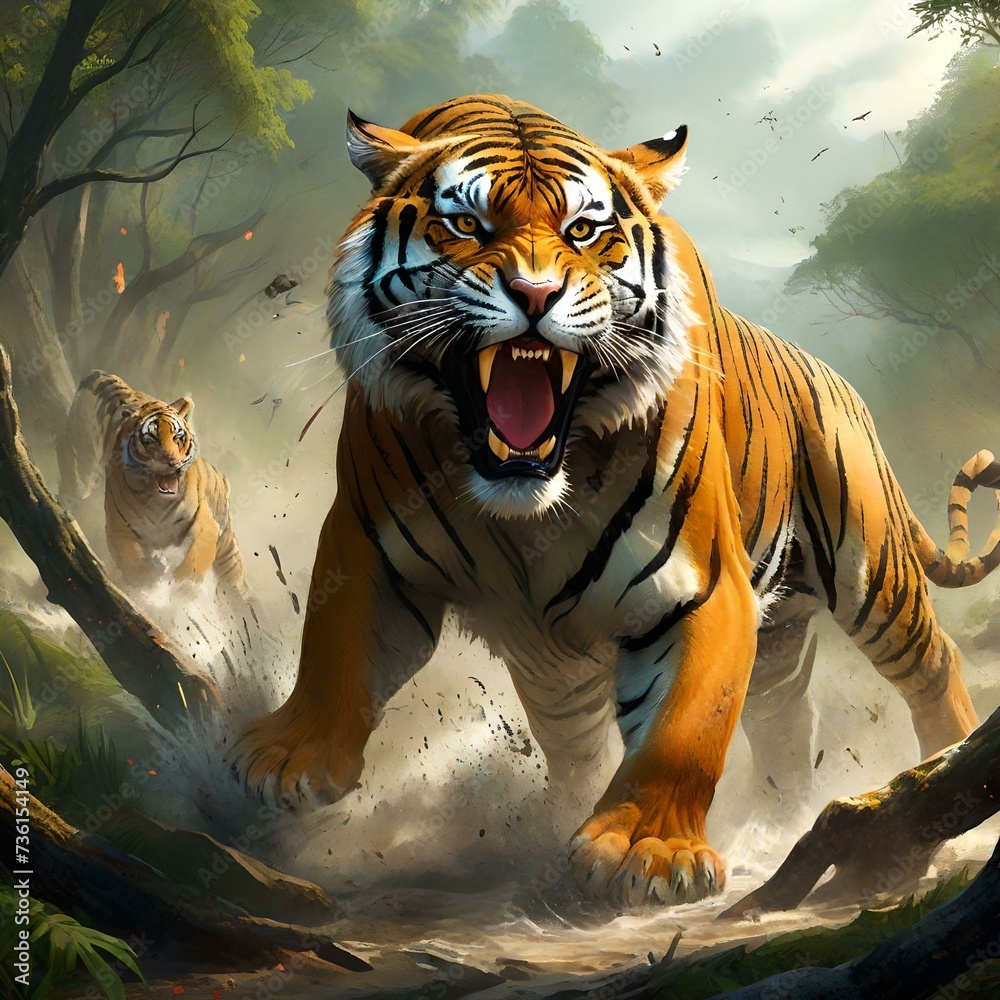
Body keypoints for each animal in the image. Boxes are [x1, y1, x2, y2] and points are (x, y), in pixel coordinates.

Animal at [66, 371, 249, 597]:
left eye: (178, 436)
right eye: (150, 439)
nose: (172, 462)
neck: (155, 500)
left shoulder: (206, 526)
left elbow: (194, 562)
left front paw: (181, 588)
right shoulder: (119, 527)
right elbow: (133, 564)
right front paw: (147, 585)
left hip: (228, 556)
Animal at [231, 95, 1000, 908]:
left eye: (583, 231)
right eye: (466, 224)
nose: (536, 295)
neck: (524, 505)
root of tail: (837, 380)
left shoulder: (699, 587)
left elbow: (686, 726)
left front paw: (648, 851)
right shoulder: (367, 538)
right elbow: (334, 640)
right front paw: (293, 756)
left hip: (870, 568)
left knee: (933, 661)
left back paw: (945, 774)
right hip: (749, 639)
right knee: (774, 718)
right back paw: (777, 815)